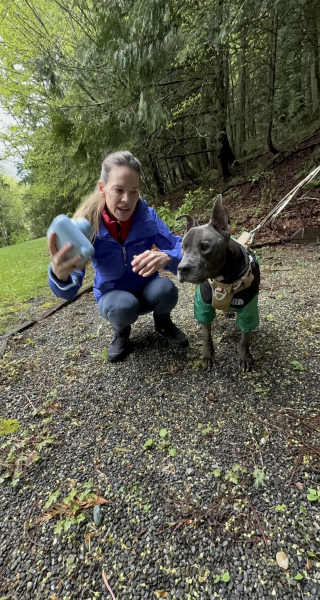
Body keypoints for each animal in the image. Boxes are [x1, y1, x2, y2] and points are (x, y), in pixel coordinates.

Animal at [176, 195, 262, 370]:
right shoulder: (204, 304)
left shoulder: (249, 307)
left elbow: (245, 337)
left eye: (205, 247)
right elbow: (206, 335)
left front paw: (245, 357)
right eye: (183, 247)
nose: (181, 268)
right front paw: (208, 355)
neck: (224, 280)